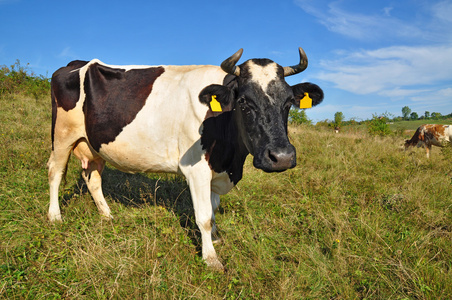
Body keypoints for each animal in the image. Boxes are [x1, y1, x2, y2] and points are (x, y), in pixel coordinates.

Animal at [47, 47, 324, 270]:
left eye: (289, 102)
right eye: (244, 101)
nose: (282, 157)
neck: (230, 160)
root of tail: (75, 63)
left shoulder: (216, 170)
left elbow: (213, 210)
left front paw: (216, 238)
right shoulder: (197, 169)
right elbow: (203, 216)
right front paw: (211, 258)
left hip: (95, 145)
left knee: (92, 178)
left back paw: (107, 216)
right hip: (62, 135)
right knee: (55, 172)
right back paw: (55, 216)